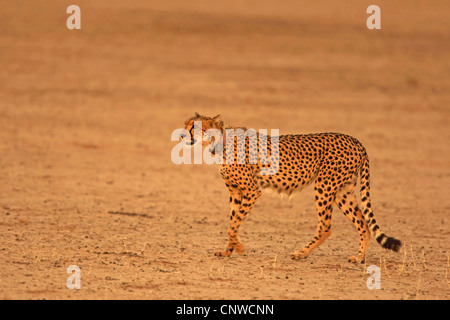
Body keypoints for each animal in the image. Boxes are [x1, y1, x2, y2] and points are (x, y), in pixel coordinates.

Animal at [182, 112, 400, 262]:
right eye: (185, 124)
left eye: (195, 127)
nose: (182, 135)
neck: (220, 141)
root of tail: (356, 141)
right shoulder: (235, 191)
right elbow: (232, 222)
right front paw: (228, 250)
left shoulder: (252, 190)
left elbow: (233, 224)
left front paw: (240, 248)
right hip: (342, 191)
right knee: (363, 223)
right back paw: (359, 257)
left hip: (324, 185)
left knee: (326, 226)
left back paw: (301, 253)